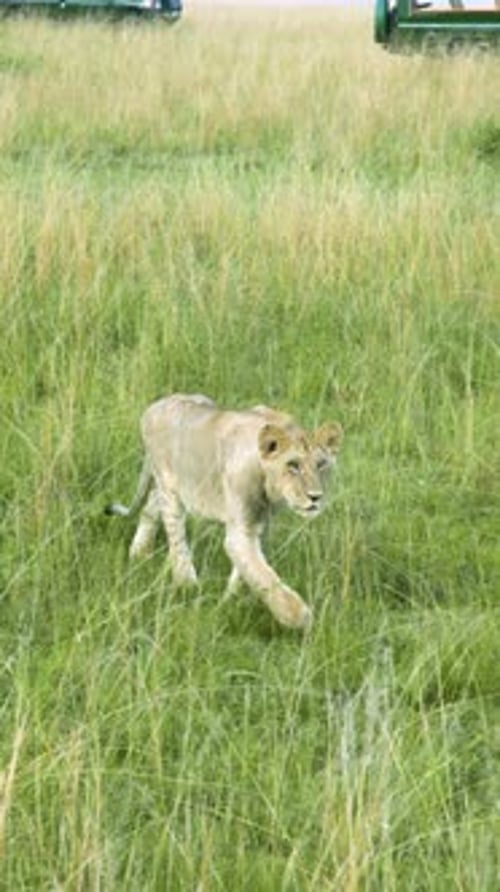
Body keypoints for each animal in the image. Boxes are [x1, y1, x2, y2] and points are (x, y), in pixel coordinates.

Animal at [105, 394, 343, 630]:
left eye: (321, 465)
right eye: (292, 465)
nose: (315, 497)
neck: (269, 490)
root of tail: (155, 405)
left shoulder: (258, 526)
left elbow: (247, 571)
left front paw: (230, 601)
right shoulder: (240, 532)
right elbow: (265, 577)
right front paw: (300, 617)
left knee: (150, 506)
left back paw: (139, 553)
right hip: (169, 484)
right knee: (176, 538)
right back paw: (187, 583)